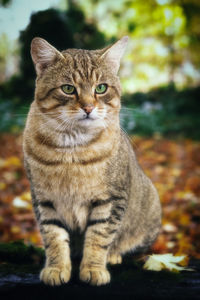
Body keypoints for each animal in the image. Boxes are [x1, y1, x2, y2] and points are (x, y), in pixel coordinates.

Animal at [23, 36, 161, 288]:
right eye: (68, 88)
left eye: (101, 88)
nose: (88, 107)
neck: (72, 150)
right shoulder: (43, 199)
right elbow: (54, 237)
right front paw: (57, 268)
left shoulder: (111, 199)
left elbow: (99, 236)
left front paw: (94, 269)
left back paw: (114, 255)